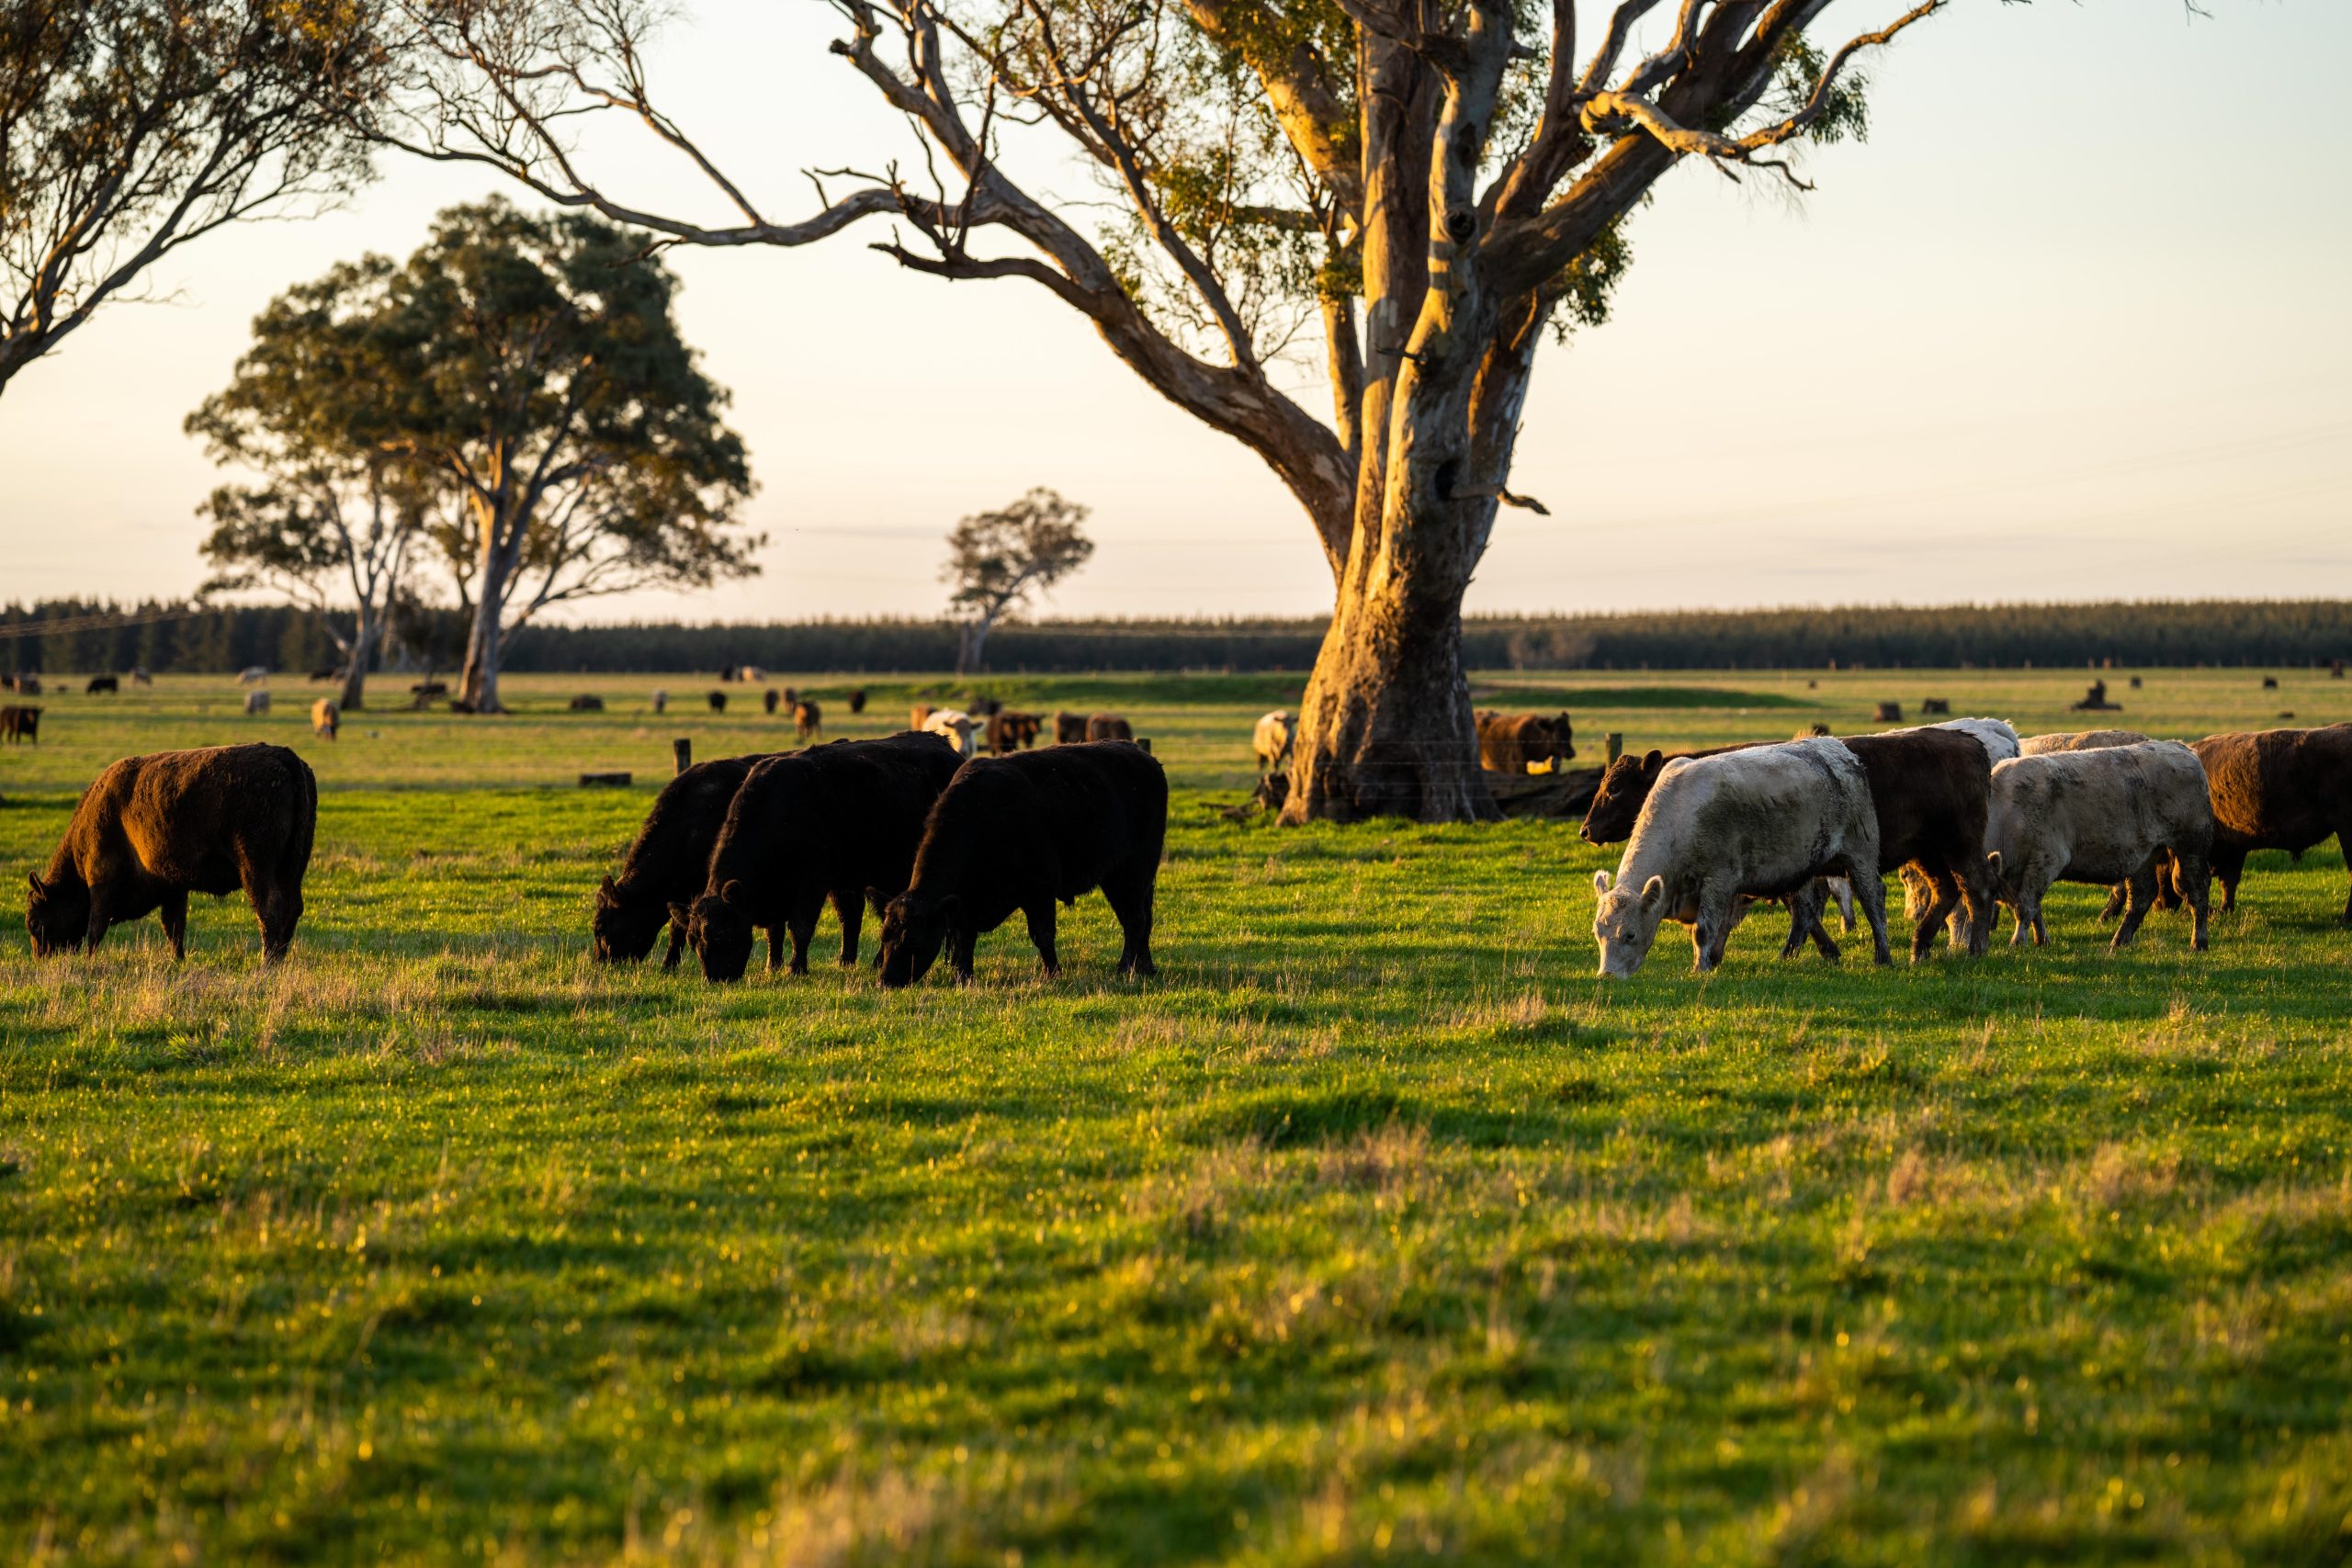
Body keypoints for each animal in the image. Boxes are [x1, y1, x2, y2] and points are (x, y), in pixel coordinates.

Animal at [25, 743, 315, 962]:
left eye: (34, 922)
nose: (41, 958)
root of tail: (283, 755)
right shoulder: (173, 887)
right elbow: (173, 926)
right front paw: (178, 959)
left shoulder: (101, 883)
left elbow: (96, 927)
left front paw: (88, 960)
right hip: (293, 867)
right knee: (292, 907)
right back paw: (279, 958)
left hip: (255, 868)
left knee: (269, 907)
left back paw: (267, 962)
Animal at [675, 733, 963, 982]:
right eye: (692, 941)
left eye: (720, 935)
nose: (714, 979)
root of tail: (941, 742)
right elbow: (777, 930)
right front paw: (773, 966)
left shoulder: (815, 879)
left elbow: (800, 927)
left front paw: (796, 968)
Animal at [876, 741, 1167, 987]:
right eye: (884, 937)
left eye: (913, 940)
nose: (886, 980)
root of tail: (1143, 756)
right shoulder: (965, 903)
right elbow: (964, 938)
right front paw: (963, 977)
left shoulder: (1040, 889)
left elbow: (1042, 934)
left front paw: (1052, 973)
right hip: (1122, 878)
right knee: (1140, 919)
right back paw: (1144, 966)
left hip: (1134, 871)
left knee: (1134, 920)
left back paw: (1126, 968)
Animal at [1592, 738, 1891, 977]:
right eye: (1597, 933)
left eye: (1630, 934)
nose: (1607, 975)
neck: (1680, 815)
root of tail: (1839, 749)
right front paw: (1711, 961)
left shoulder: (1718, 879)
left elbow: (1703, 931)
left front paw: (1700, 969)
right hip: (1804, 867)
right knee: (1804, 909)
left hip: (1861, 853)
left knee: (1872, 899)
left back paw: (1883, 957)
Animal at [1983, 742, 2213, 951]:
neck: (2006, 813)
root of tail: (2179, 747)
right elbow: (2035, 910)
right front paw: (2042, 940)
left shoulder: (2046, 861)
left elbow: (2025, 906)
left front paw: (2017, 943)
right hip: (2145, 855)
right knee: (2142, 895)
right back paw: (2119, 941)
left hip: (2190, 845)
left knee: (2196, 890)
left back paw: (2198, 942)